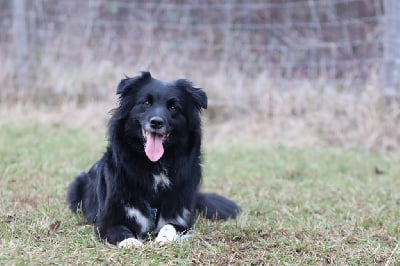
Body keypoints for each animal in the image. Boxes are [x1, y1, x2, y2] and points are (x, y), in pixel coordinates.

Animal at [67, 71, 239, 247]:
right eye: (146, 103)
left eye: (173, 107)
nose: (156, 122)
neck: (154, 165)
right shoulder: (107, 220)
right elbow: (120, 230)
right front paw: (131, 243)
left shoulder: (182, 219)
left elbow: (170, 226)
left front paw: (164, 238)